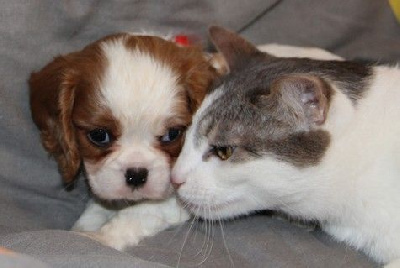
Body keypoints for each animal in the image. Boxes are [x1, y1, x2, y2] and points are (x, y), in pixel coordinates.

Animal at [30, 32, 219, 250]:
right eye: (99, 136)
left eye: (172, 134)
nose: (136, 175)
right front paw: (84, 227)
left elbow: (137, 213)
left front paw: (99, 238)